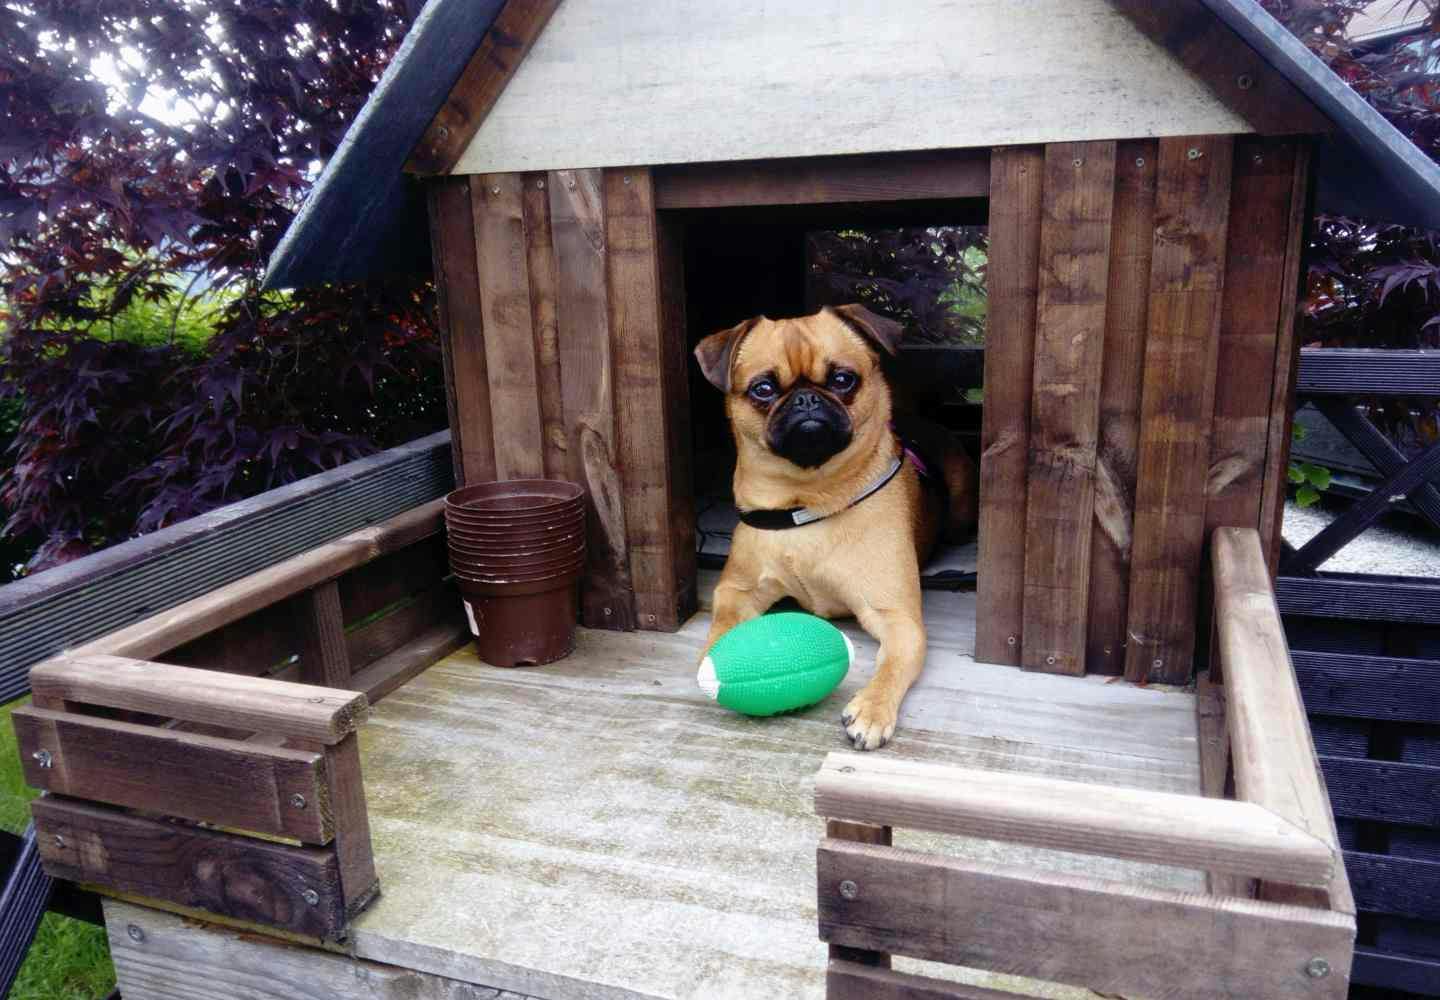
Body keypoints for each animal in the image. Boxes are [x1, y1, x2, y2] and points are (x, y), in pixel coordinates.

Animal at [688, 305, 979, 749]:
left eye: (843, 380)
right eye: (763, 389)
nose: (806, 398)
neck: (809, 500)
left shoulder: (898, 618)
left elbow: (892, 665)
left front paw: (873, 708)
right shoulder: (737, 589)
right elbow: (722, 622)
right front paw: (718, 654)